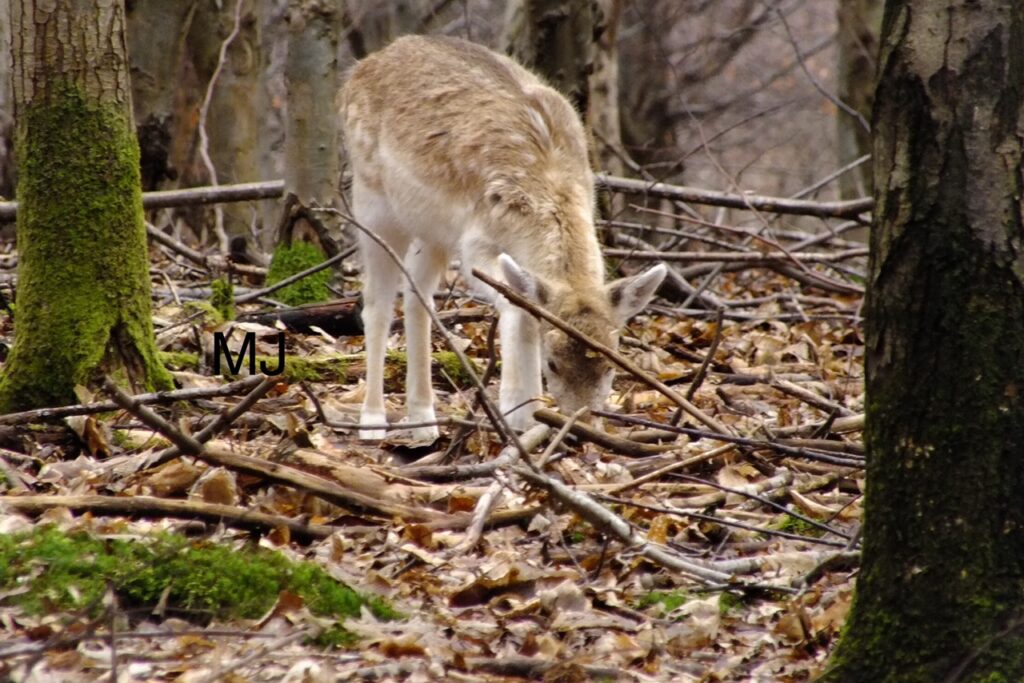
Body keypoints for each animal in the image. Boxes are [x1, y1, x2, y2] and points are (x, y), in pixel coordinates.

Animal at [339, 35, 667, 443]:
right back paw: (372, 422)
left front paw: (529, 415)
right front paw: (515, 412)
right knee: (376, 305)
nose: (582, 428)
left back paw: (425, 422)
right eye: (552, 364)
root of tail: (360, 68)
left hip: (434, 231)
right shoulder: (476, 243)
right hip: (372, 202)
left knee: (417, 297)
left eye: (610, 364)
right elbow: (517, 307)